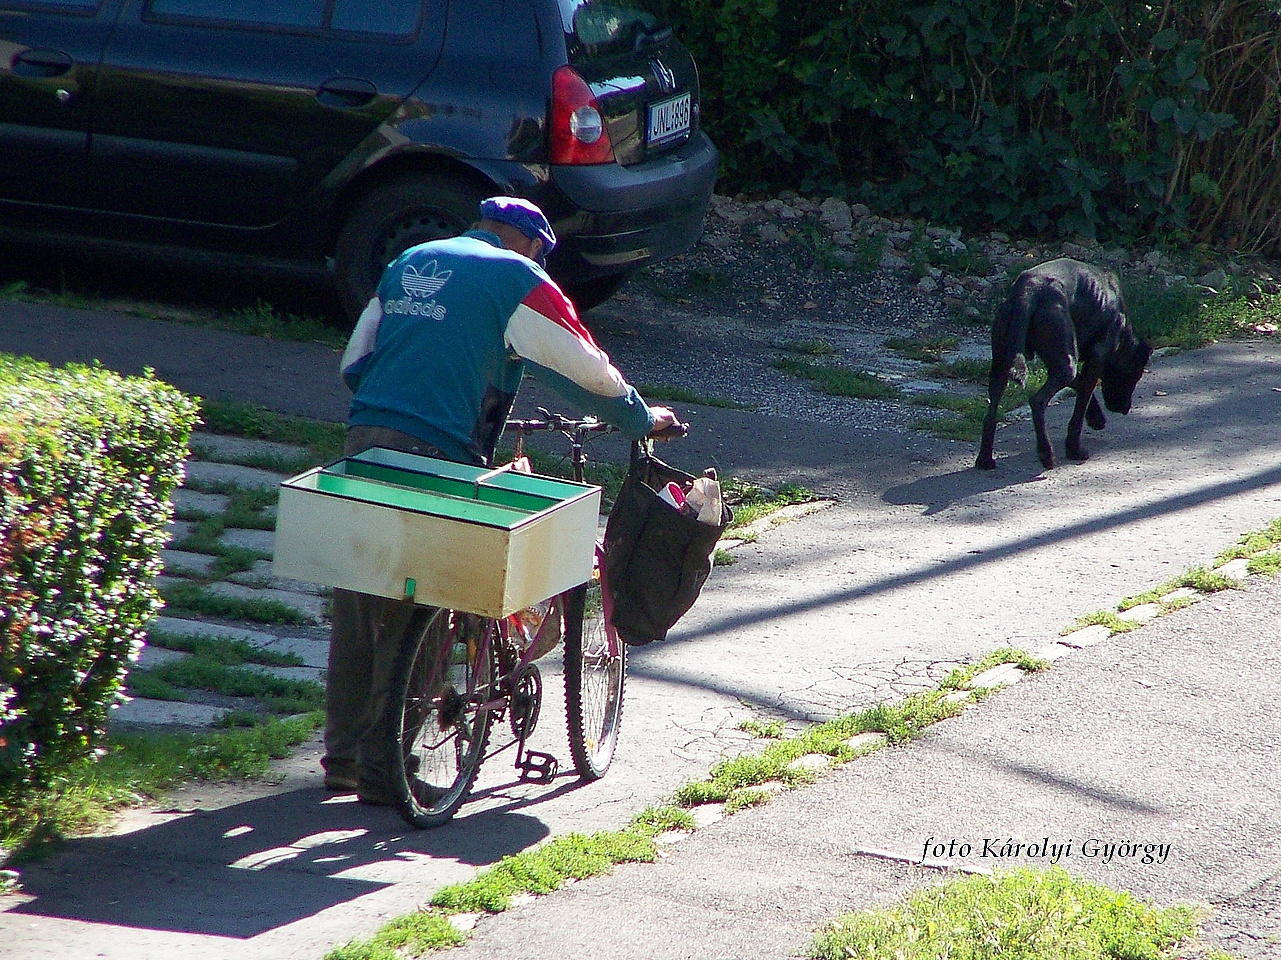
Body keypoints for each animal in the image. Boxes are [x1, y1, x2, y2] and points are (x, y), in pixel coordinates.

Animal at [978, 258, 1152, 471]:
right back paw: (1046, 454)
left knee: (990, 414)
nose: (1126, 409)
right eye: (1135, 375)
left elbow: (1081, 386)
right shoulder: (1095, 358)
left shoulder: (1063, 362)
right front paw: (1074, 449)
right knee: (1037, 401)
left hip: (1001, 365)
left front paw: (1095, 417)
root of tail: (1028, 289)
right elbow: (1081, 402)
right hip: (1066, 366)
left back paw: (985, 459)